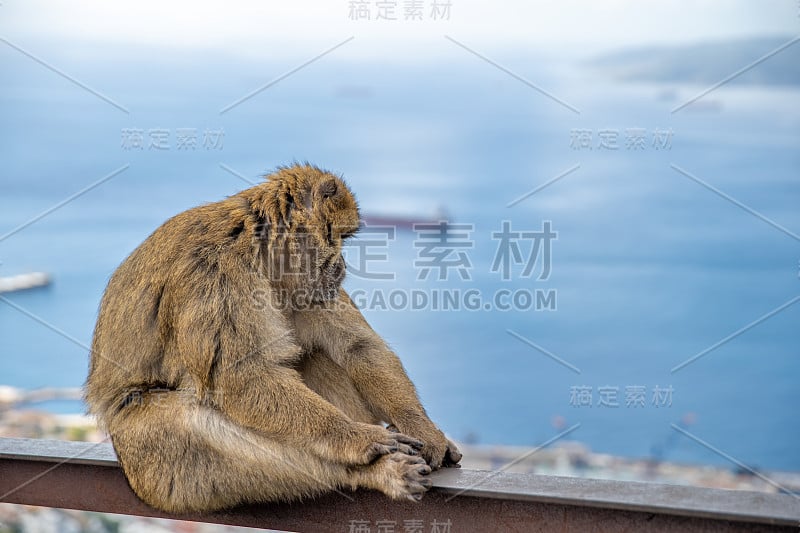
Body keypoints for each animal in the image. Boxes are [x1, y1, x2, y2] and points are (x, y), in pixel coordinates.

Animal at [83, 162, 460, 512]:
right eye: (339, 238)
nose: (342, 267)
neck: (258, 252)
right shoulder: (216, 276)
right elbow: (244, 377)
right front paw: (356, 438)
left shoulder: (306, 288)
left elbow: (357, 347)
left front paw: (424, 430)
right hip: (150, 464)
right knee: (185, 423)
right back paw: (375, 471)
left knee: (316, 354)